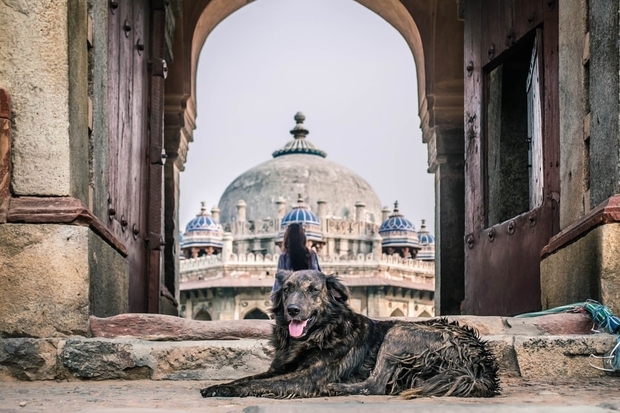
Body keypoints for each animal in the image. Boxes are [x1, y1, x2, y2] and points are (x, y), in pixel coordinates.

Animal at [201, 268, 502, 398]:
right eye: (287, 289)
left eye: (314, 290)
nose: (293, 310)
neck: (317, 335)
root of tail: (479, 361)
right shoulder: (281, 368)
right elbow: (250, 378)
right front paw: (219, 385)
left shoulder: (306, 378)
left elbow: (256, 384)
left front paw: (219, 389)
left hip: (399, 331)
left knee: (376, 385)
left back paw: (336, 388)